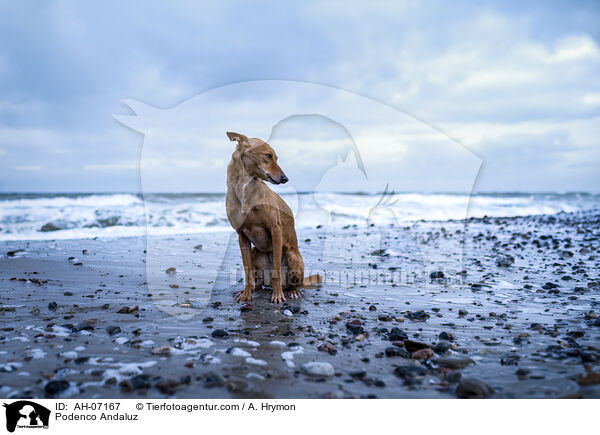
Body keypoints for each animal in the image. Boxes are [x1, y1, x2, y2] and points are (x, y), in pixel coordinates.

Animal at [225, 132, 322, 304]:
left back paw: (292, 291)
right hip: (255, 252)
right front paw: (246, 294)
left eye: (276, 157)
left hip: (293, 256)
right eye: (268, 155)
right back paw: (254, 289)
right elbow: (247, 270)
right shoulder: (241, 235)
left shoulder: (275, 230)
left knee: (292, 284)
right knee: (257, 282)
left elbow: (276, 267)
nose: (285, 179)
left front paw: (277, 296)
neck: (244, 186)